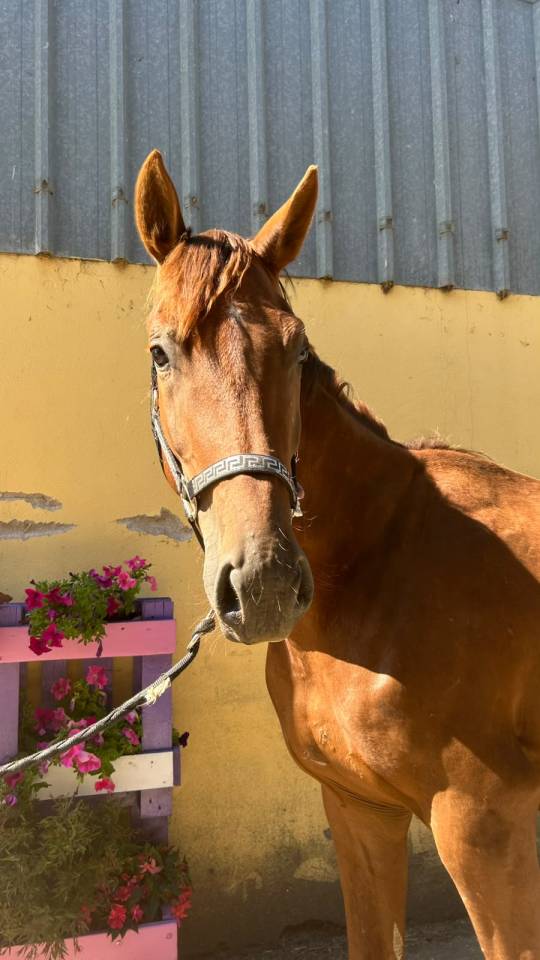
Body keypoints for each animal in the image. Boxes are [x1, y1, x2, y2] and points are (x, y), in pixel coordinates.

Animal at [134, 150, 540, 960]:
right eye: (161, 354)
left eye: (296, 350)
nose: (263, 582)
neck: (381, 563)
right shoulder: (358, 812)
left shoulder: (488, 830)